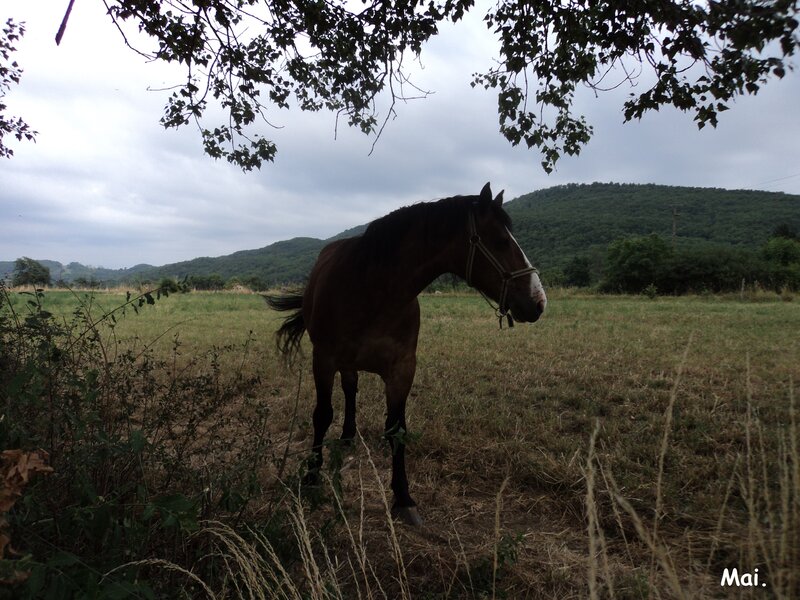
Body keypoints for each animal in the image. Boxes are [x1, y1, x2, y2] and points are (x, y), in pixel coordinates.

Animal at [265, 183, 547, 525]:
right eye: (501, 241)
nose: (538, 302)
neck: (372, 290)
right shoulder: (324, 360)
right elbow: (322, 415)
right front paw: (311, 476)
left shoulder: (402, 369)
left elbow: (397, 429)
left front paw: (403, 497)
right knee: (347, 390)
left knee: (351, 389)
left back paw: (348, 436)